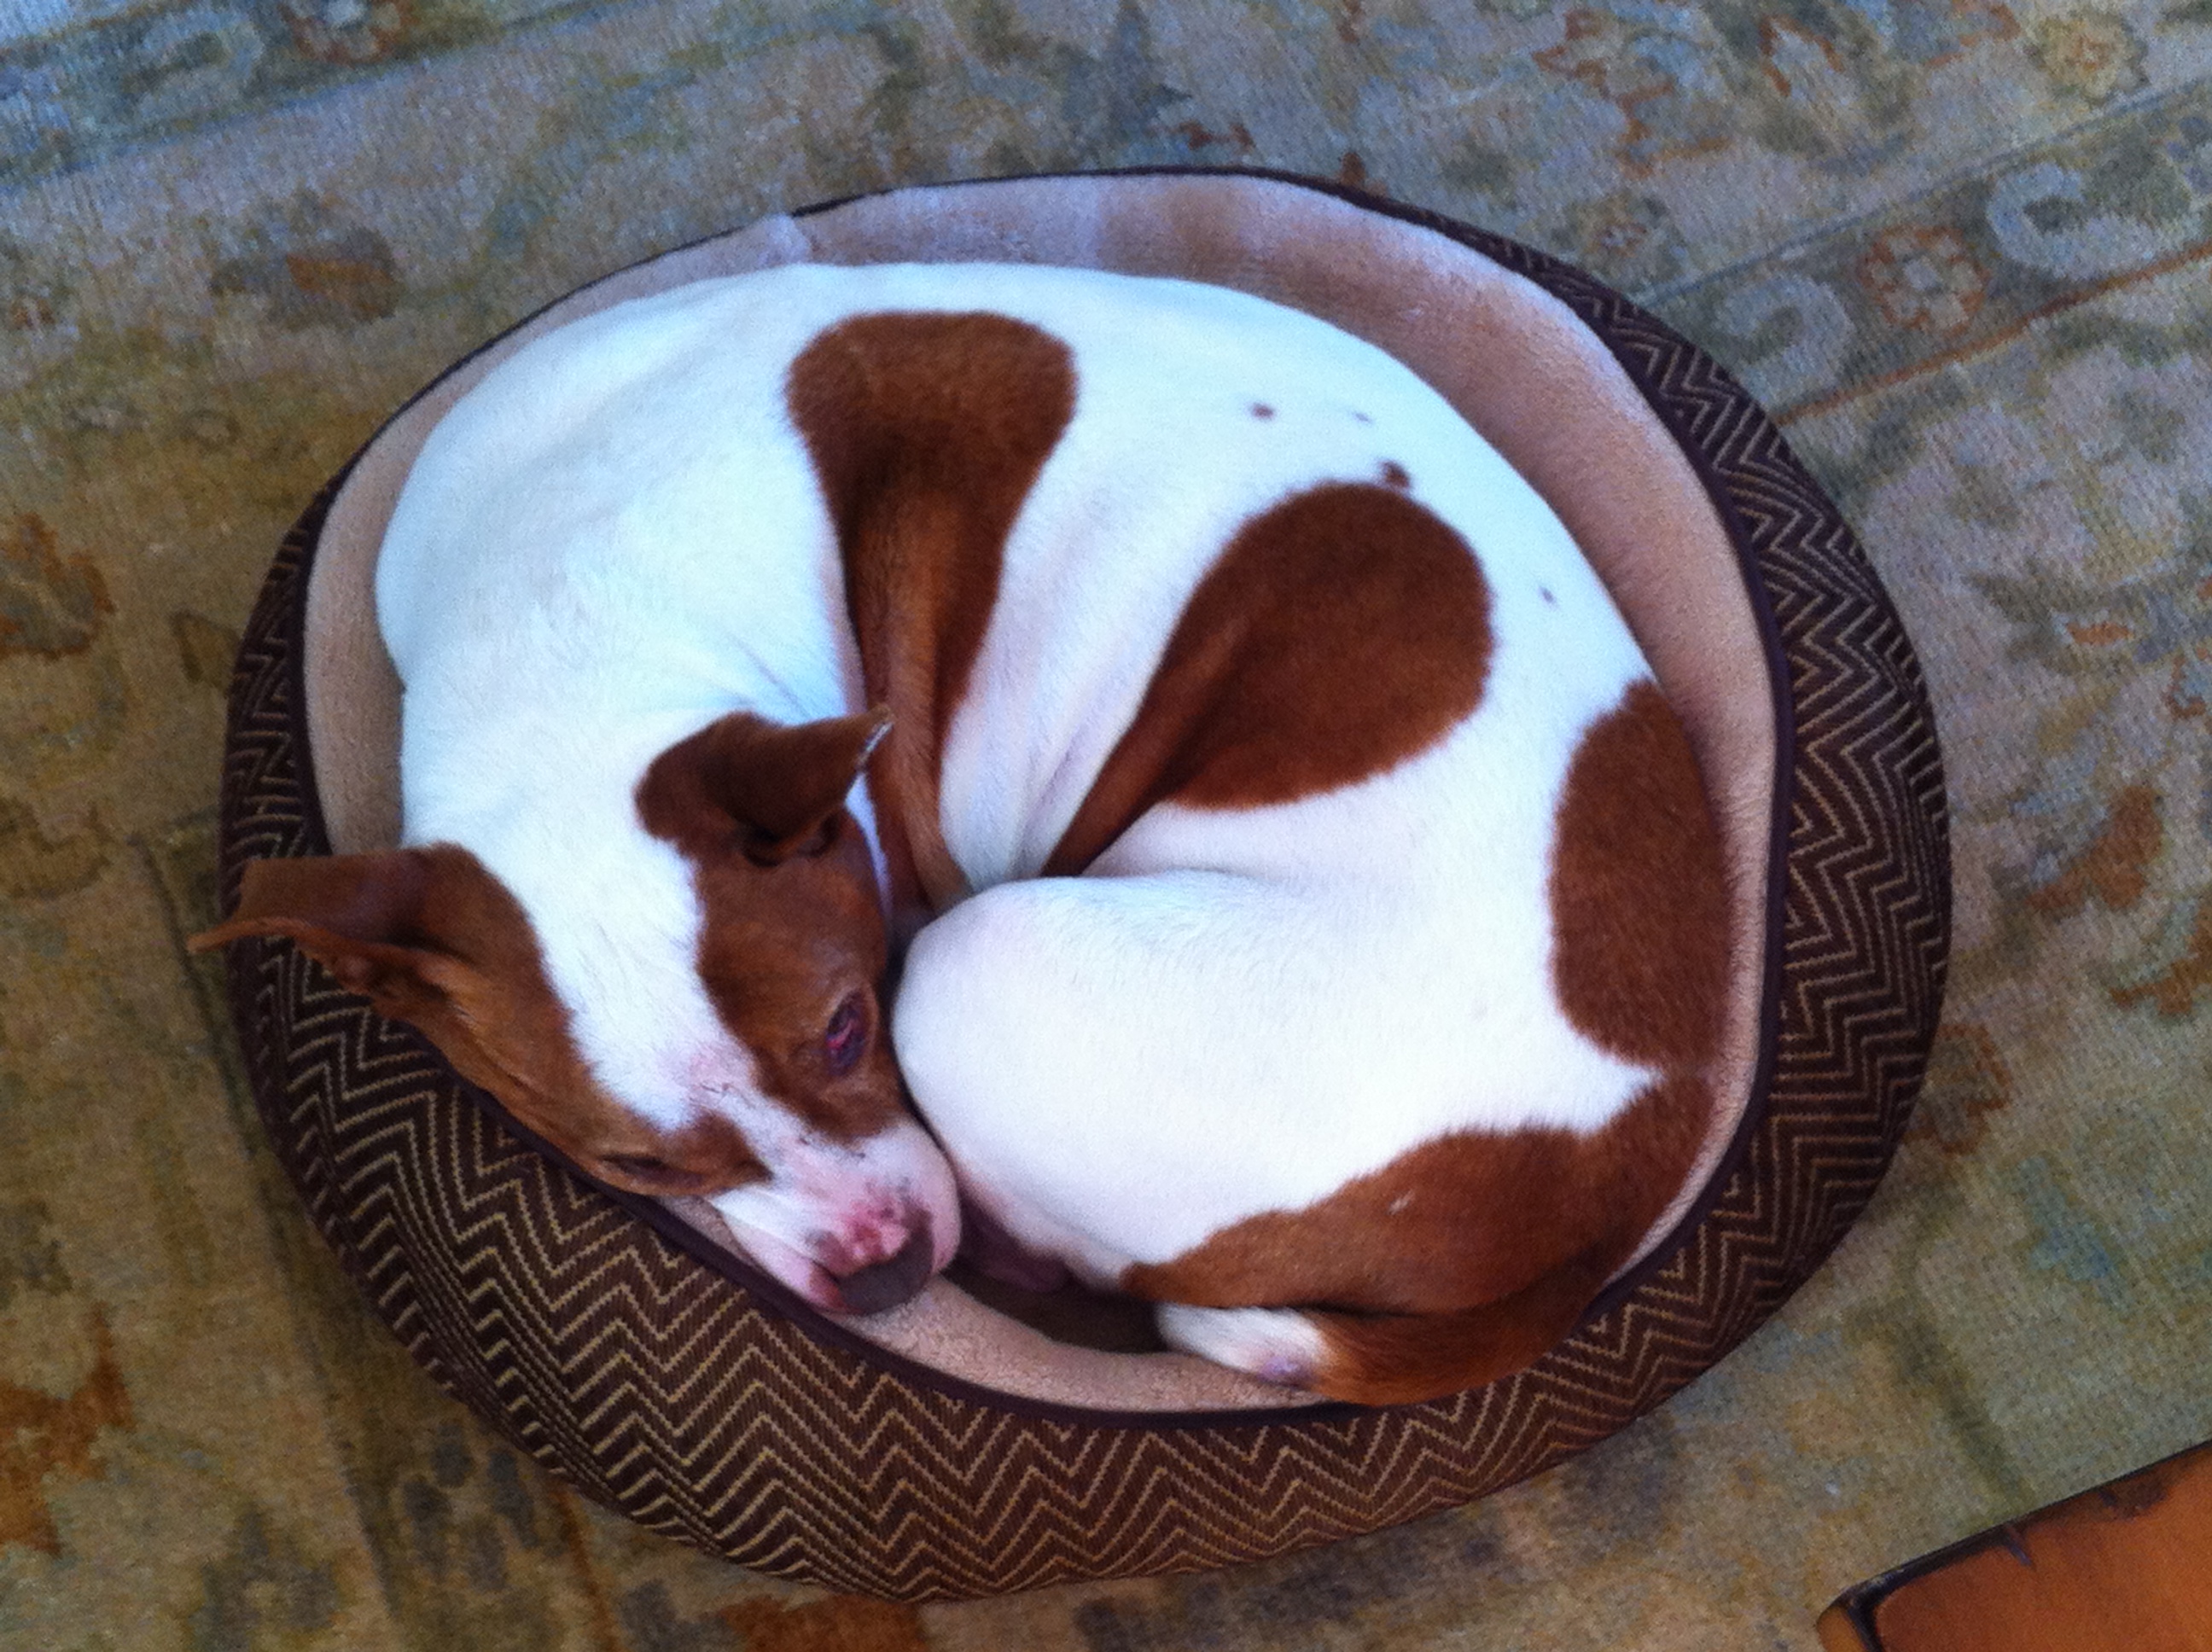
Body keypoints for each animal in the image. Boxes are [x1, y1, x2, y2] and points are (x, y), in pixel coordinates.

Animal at [194, 260, 1728, 1406]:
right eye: (636, 1170)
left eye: (845, 1030)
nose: (879, 1276)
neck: (563, 601)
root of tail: (1623, 1171)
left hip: (994, 966)